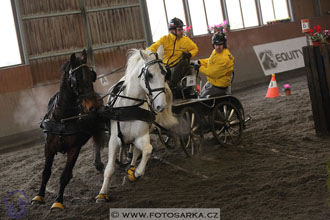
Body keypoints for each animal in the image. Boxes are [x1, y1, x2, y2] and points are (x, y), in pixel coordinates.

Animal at [31, 49, 107, 210]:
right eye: (76, 78)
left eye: (92, 76)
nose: (93, 107)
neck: (63, 119)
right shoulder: (48, 147)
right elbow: (46, 173)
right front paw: (39, 196)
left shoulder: (74, 149)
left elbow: (65, 175)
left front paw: (58, 201)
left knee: (97, 143)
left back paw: (99, 164)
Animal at [96, 46, 177, 203]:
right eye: (149, 75)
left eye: (165, 74)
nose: (161, 106)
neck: (130, 106)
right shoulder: (114, 140)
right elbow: (109, 169)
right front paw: (102, 193)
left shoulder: (141, 136)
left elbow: (147, 150)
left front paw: (137, 172)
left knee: (137, 152)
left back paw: (132, 168)